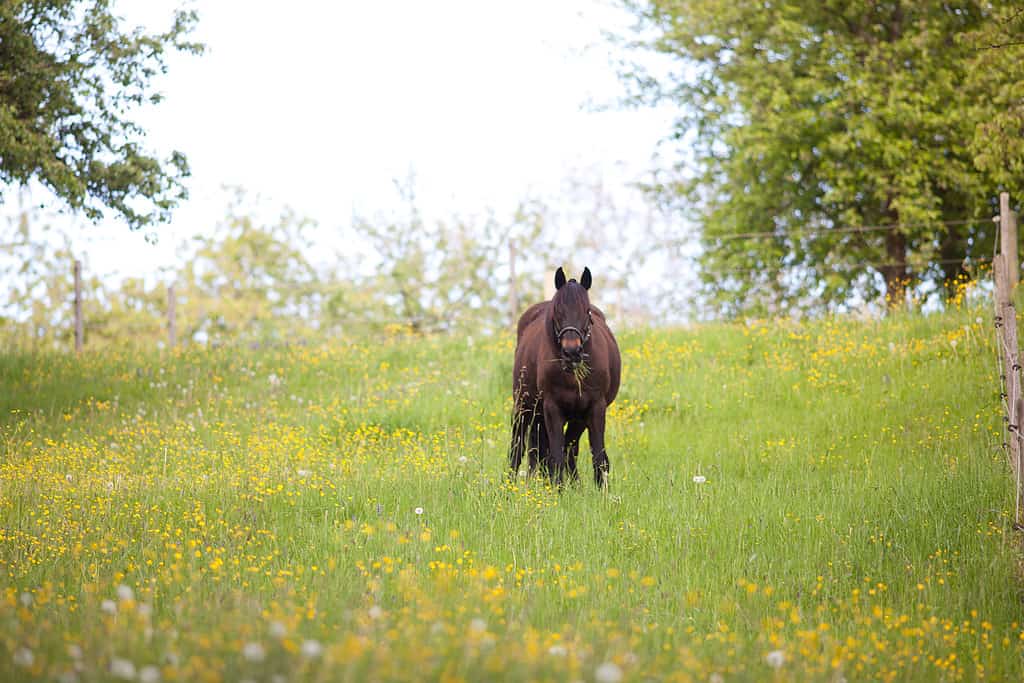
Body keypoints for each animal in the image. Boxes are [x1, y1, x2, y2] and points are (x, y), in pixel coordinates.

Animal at [509, 266, 621, 487]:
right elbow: (556, 456)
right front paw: (558, 490)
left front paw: (601, 491)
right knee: (517, 449)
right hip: (524, 407)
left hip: (575, 418)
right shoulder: (552, 408)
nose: (572, 352)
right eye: (557, 312)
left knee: (568, 449)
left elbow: (598, 458)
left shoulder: (595, 408)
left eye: (587, 311)